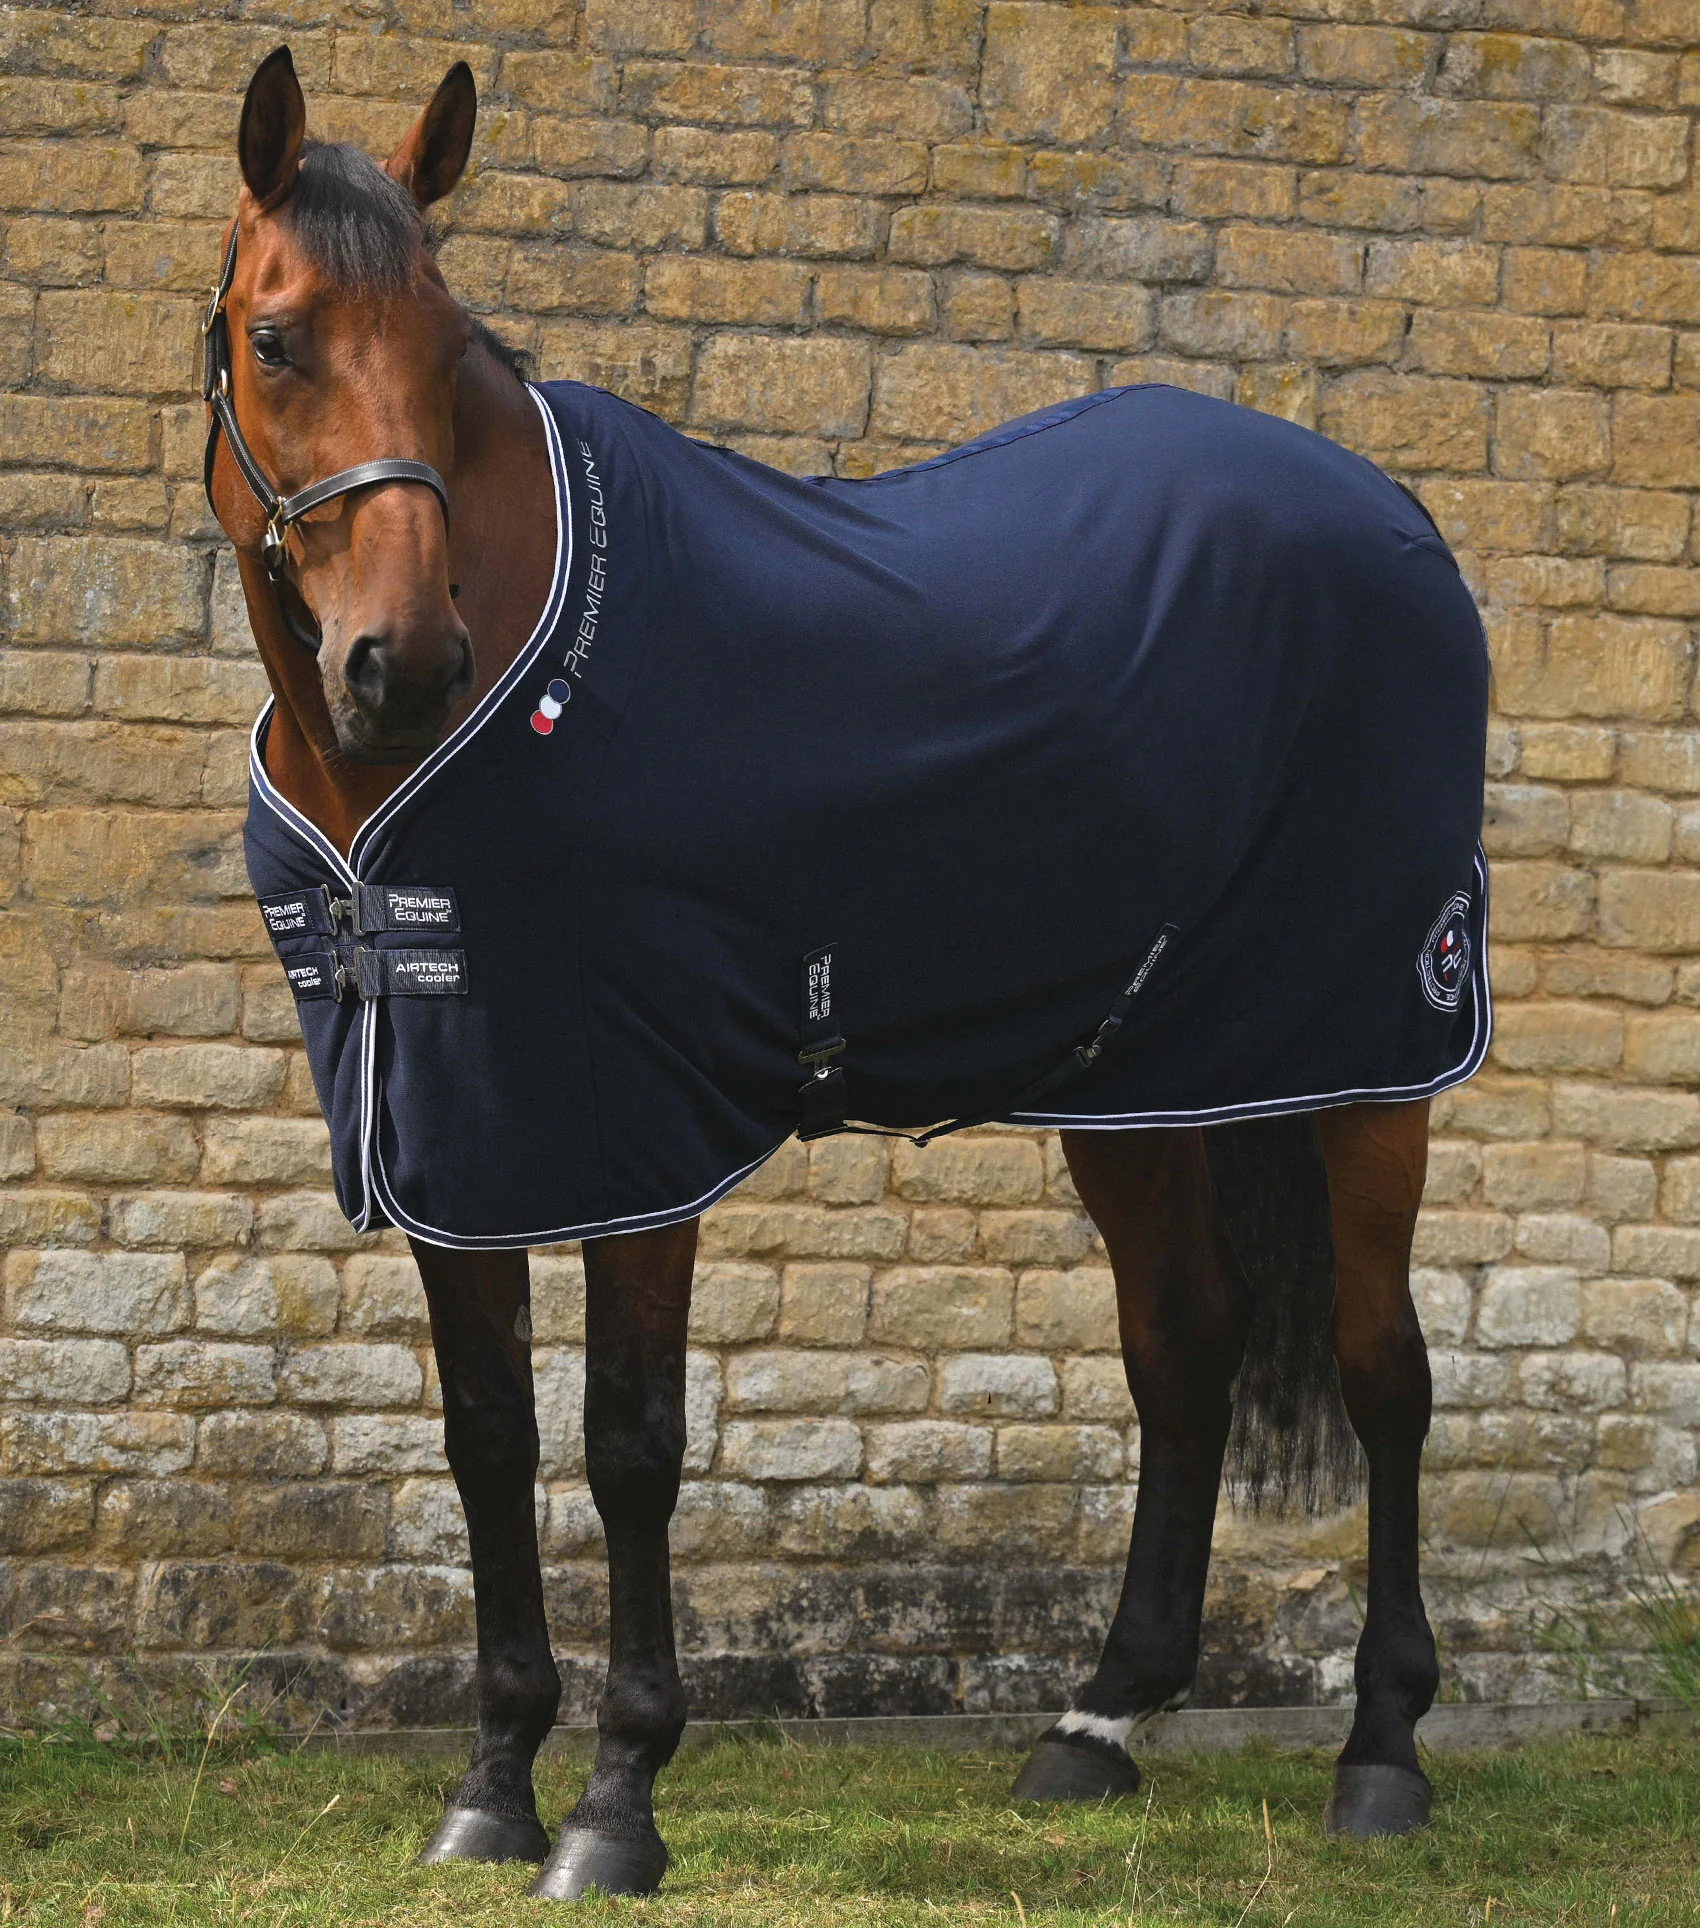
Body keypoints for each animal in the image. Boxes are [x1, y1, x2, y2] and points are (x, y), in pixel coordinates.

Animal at [202, 45, 1489, 1902]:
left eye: (448, 348)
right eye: (278, 337)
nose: (404, 662)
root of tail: (1390, 511)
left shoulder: (632, 1128)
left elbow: (631, 1444)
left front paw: (616, 1802)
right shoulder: (454, 1129)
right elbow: (488, 1435)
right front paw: (491, 1787)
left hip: (1380, 1050)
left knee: (1387, 1368)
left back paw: (1382, 1753)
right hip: (1143, 1074)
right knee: (1185, 1342)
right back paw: (1096, 1721)